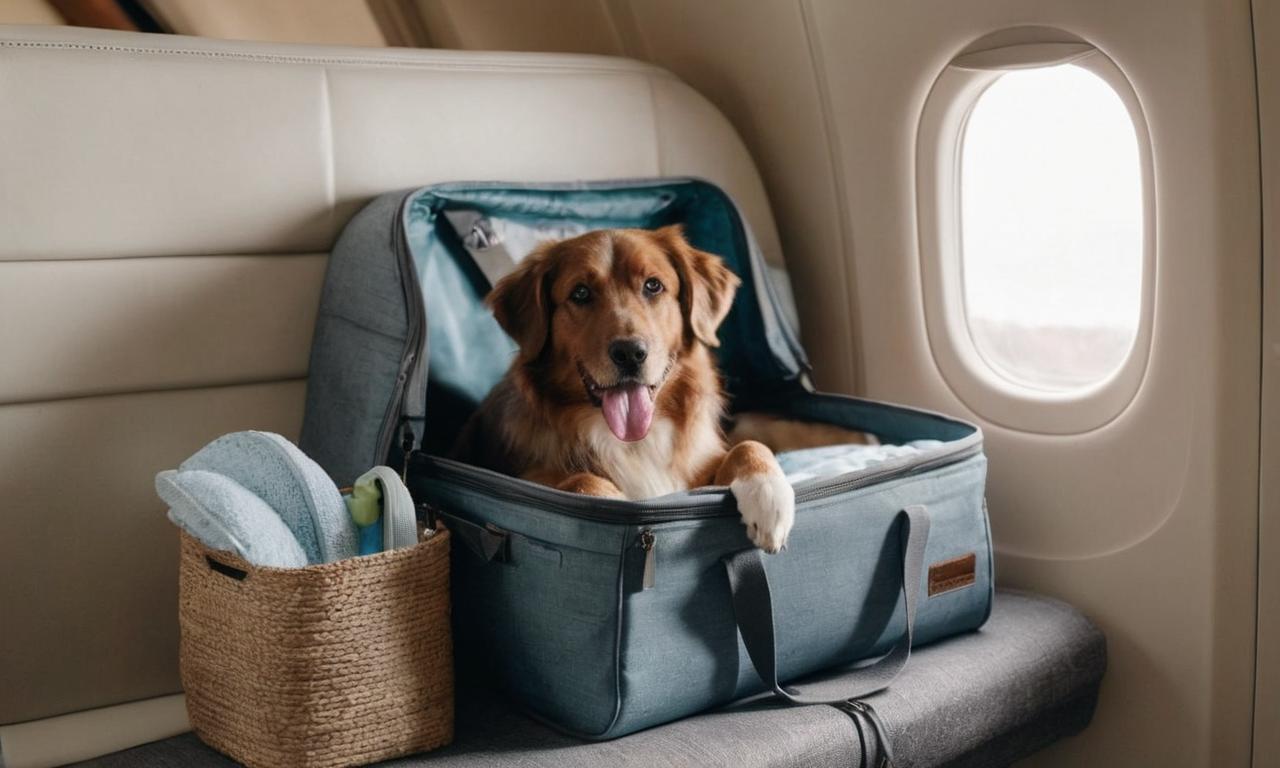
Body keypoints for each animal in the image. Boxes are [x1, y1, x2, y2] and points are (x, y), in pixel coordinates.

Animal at [453, 225, 829, 547]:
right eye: (580, 293)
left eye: (653, 286)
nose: (630, 353)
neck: (634, 441)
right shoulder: (526, 477)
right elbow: (580, 480)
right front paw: (612, 501)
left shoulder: (699, 467)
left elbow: (747, 447)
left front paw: (768, 494)